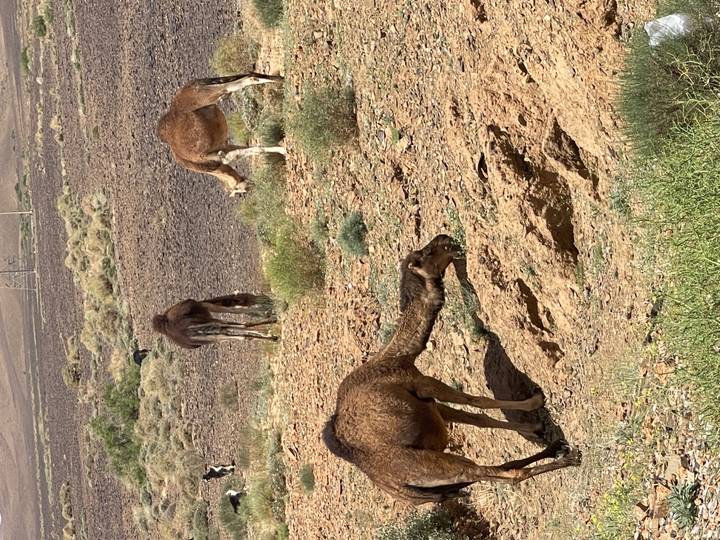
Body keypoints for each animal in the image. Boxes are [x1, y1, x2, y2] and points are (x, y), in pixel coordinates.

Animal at [157, 73, 286, 196]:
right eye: (239, 190)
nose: (251, 187)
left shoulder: (219, 156)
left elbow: (244, 152)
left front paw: (283, 149)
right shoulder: (223, 147)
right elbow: (250, 149)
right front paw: (281, 147)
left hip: (210, 94)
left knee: (243, 80)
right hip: (212, 84)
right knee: (245, 75)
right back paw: (280, 79)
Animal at [323, 234, 581, 504]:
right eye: (425, 254)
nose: (447, 239)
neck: (398, 356)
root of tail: (401, 491)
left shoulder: (430, 404)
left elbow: (478, 419)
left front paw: (536, 428)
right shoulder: (421, 382)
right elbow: (476, 401)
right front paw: (536, 402)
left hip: (443, 483)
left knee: (496, 469)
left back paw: (556, 448)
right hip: (435, 466)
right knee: (497, 474)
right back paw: (569, 458)